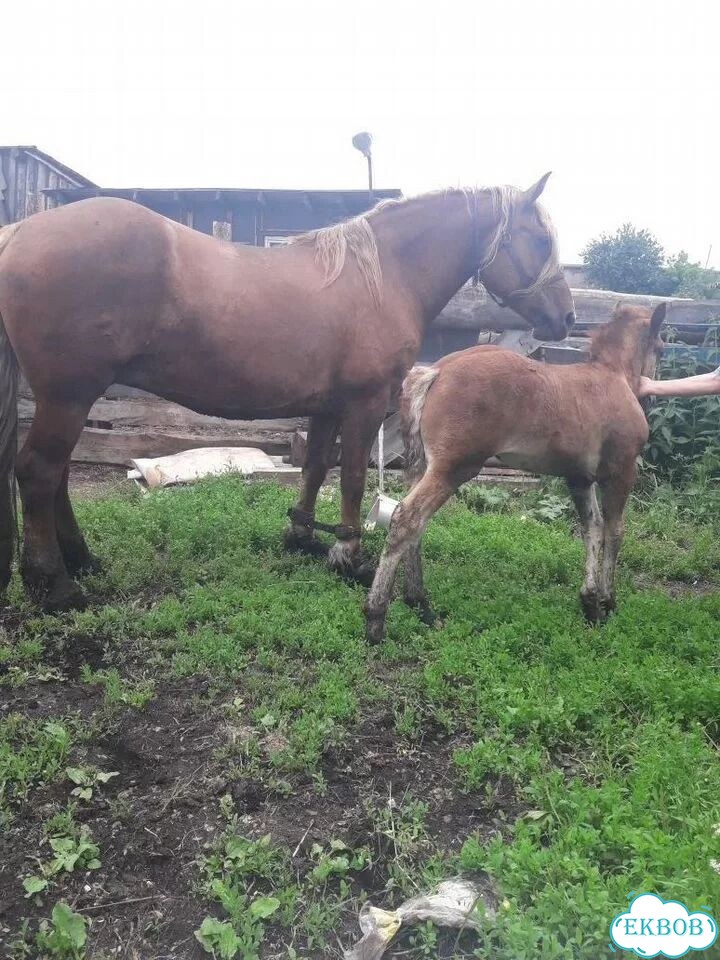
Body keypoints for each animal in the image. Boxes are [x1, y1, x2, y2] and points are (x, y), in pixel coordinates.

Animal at [0, 175, 574, 612]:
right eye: (540, 240)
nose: (566, 318)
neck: (382, 277)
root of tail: (21, 230)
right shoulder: (364, 404)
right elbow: (351, 477)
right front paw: (347, 556)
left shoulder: (325, 407)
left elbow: (315, 467)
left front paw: (301, 538)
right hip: (69, 396)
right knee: (39, 472)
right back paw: (56, 584)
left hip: (70, 398)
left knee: (57, 475)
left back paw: (83, 560)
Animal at [365, 302, 667, 644]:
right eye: (661, 347)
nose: (650, 394)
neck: (613, 377)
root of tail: (436, 371)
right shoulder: (620, 471)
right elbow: (615, 531)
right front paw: (607, 602)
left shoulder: (579, 478)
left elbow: (593, 527)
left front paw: (589, 602)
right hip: (453, 468)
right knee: (407, 519)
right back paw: (376, 619)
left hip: (422, 466)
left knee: (415, 524)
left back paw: (421, 606)